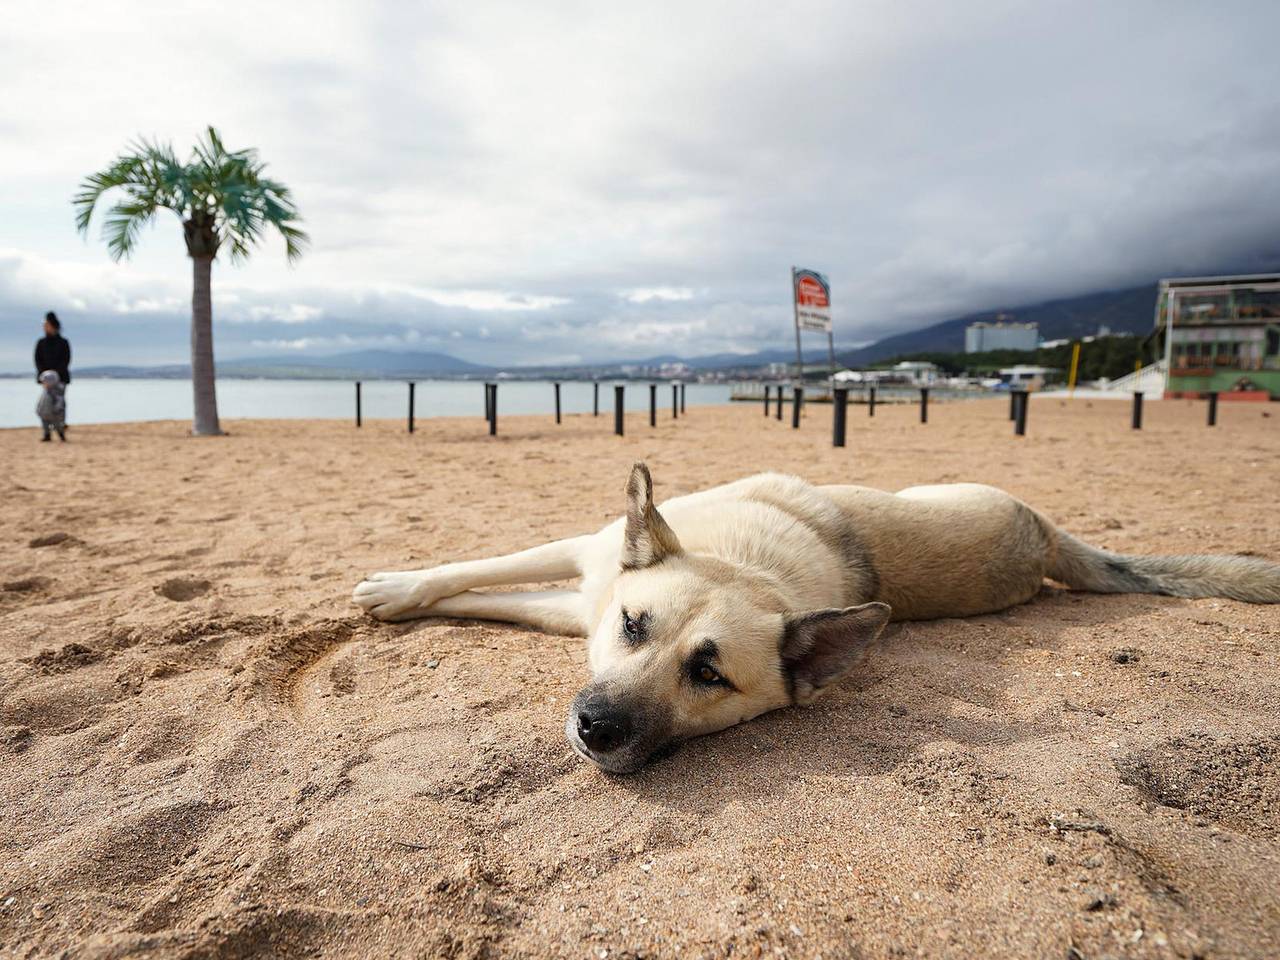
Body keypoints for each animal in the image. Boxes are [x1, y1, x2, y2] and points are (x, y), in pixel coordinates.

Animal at [353, 463, 1280, 773]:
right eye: (635, 627)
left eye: (708, 674)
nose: (596, 728)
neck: (746, 565)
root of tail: (1043, 534)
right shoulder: (587, 572)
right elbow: (477, 576)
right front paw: (398, 590)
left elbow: (488, 588)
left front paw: (398, 595)